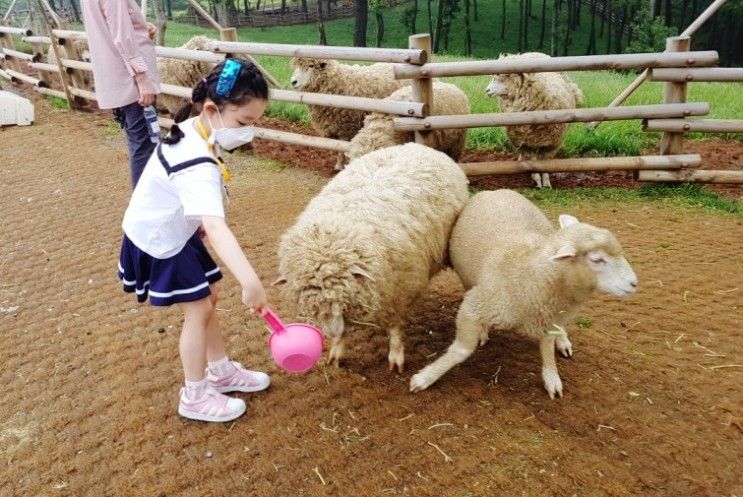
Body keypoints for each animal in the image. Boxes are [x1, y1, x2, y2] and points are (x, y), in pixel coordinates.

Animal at [276, 141, 468, 370]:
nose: (332, 331)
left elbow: (395, 327)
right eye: (316, 305)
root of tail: (417, 145)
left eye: (338, 298)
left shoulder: (400, 289)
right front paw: (337, 350)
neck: (334, 233)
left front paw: (396, 357)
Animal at [410, 188, 636, 398]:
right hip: (468, 280)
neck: (530, 273)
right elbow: (461, 350)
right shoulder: (476, 305)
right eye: (597, 259)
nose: (634, 283)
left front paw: (552, 377)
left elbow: (547, 347)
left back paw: (563, 341)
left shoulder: (549, 318)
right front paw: (425, 377)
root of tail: (496, 191)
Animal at [486, 51, 584, 188]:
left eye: (508, 75)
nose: (487, 90)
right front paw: (537, 180)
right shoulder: (525, 142)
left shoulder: (552, 142)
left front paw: (546, 182)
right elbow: (532, 161)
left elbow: (544, 162)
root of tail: (534, 53)